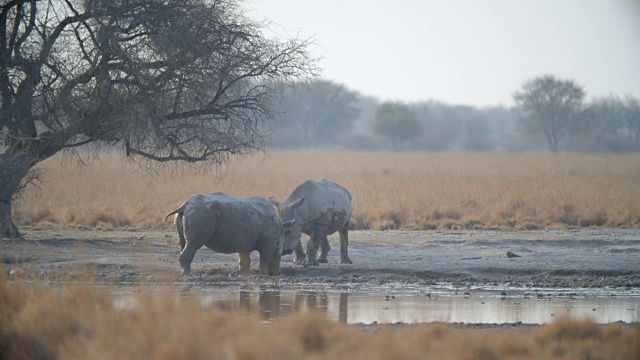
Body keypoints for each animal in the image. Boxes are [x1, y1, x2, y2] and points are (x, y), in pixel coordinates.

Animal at [164, 194, 296, 276]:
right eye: (281, 252)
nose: (278, 273)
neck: (281, 229)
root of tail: (184, 205)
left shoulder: (244, 242)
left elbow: (244, 260)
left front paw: (243, 274)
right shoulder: (268, 242)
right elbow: (264, 259)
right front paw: (265, 274)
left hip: (194, 212)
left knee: (184, 243)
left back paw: (184, 273)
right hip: (201, 212)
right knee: (193, 245)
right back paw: (189, 274)